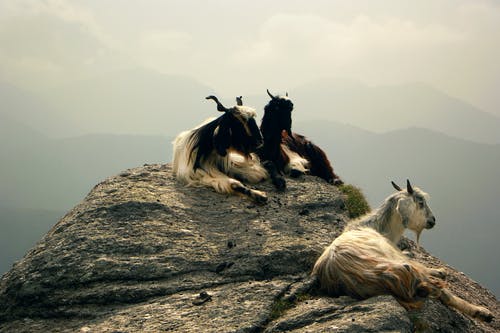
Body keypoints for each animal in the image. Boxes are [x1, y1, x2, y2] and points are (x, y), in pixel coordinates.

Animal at [314, 179, 494, 322]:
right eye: (420, 203)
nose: (433, 220)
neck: (378, 228)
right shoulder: (394, 254)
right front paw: (438, 270)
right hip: (398, 265)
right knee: (439, 291)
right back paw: (482, 312)